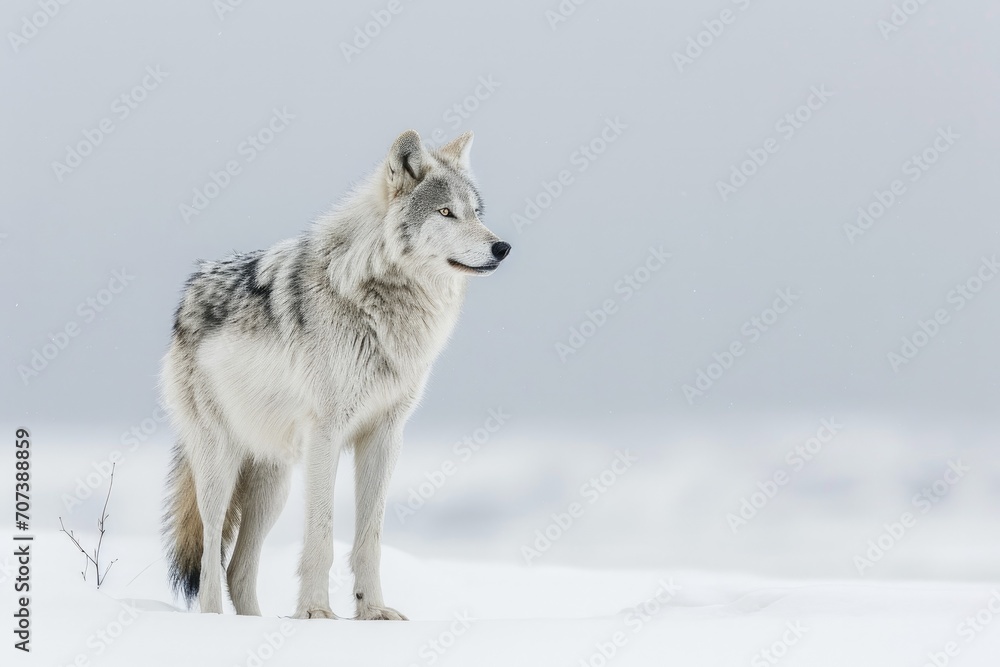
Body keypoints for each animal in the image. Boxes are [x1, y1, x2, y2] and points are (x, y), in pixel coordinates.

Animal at [161, 130, 510, 620]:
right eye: (446, 212)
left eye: (476, 213)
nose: (502, 248)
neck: (377, 299)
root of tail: (187, 297)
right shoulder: (326, 435)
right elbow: (321, 536)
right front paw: (315, 614)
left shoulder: (384, 435)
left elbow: (370, 539)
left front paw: (373, 612)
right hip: (220, 467)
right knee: (212, 556)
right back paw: (215, 622)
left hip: (273, 485)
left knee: (237, 567)